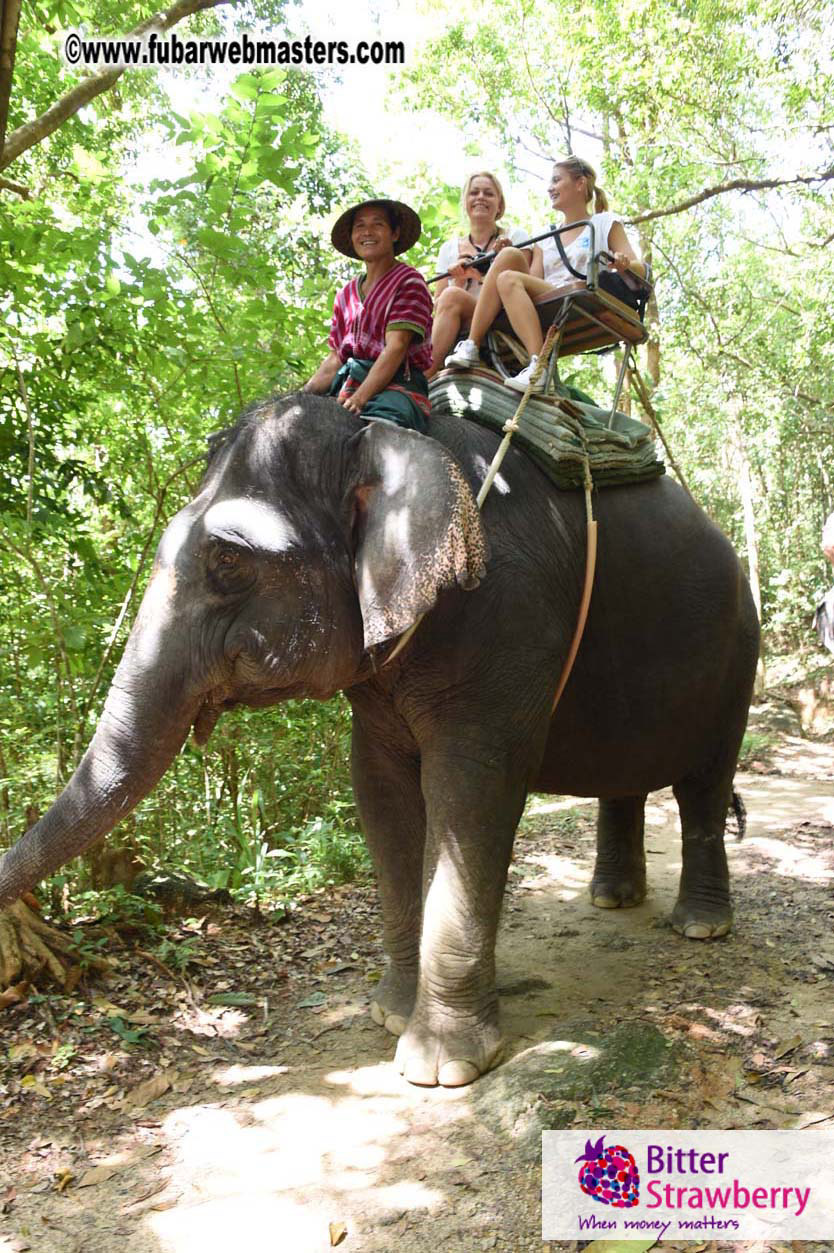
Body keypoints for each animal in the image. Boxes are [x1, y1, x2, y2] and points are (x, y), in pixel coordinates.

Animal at [0, 393, 759, 1087]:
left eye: (228, 563)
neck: (382, 433)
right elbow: (381, 793)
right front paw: (388, 1013)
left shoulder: (507, 619)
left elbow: (471, 791)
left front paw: (441, 1066)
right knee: (626, 780)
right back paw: (611, 899)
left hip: (738, 655)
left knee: (704, 785)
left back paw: (700, 925)